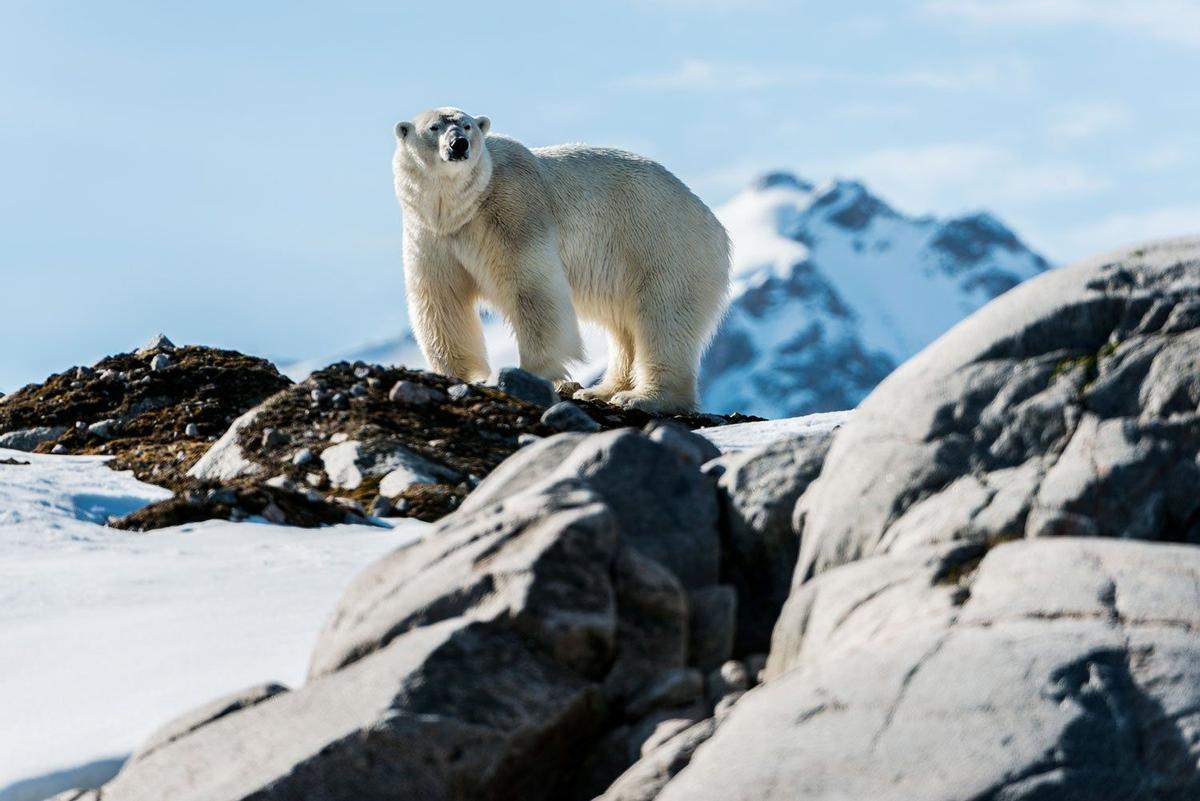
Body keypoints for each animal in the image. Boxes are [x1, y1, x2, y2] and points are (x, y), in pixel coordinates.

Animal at [393, 106, 729, 412]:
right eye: (434, 127)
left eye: (467, 125)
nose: (459, 144)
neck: (464, 206)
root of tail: (714, 224)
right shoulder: (430, 234)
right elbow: (441, 298)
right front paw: (460, 374)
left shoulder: (513, 210)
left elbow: (532, 288)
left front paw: (531, 372)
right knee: (625, 328)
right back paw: (602, 390)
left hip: (664, 247)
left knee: (663, 319)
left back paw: (644, 397)